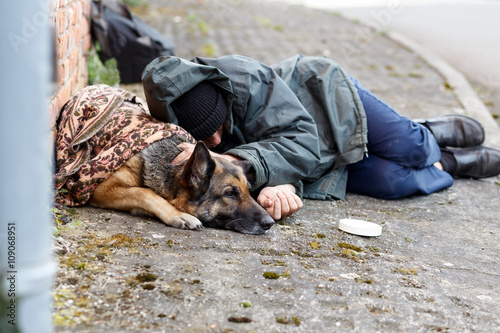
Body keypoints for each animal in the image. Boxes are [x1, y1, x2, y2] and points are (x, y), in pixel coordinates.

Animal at [90, 135, 278, 233]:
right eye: (229, 193)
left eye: (249, 191)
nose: (270, 223)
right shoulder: (101, 188)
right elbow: (143, 192)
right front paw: (177, 214)